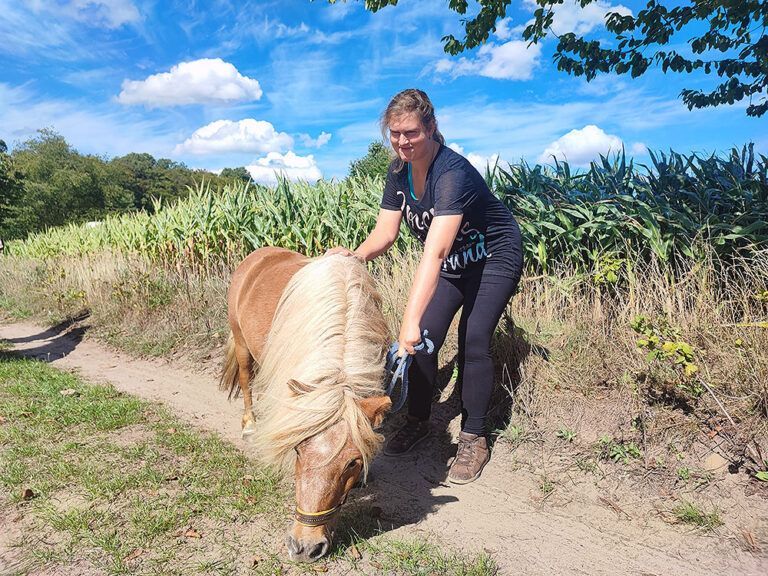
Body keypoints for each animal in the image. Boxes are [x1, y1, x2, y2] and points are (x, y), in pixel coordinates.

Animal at [219, 247, 392, 562]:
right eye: (298, 451)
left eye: (352, 462)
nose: (304, 547)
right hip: (241, 343)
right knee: (247, 381)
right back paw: (250, 426)